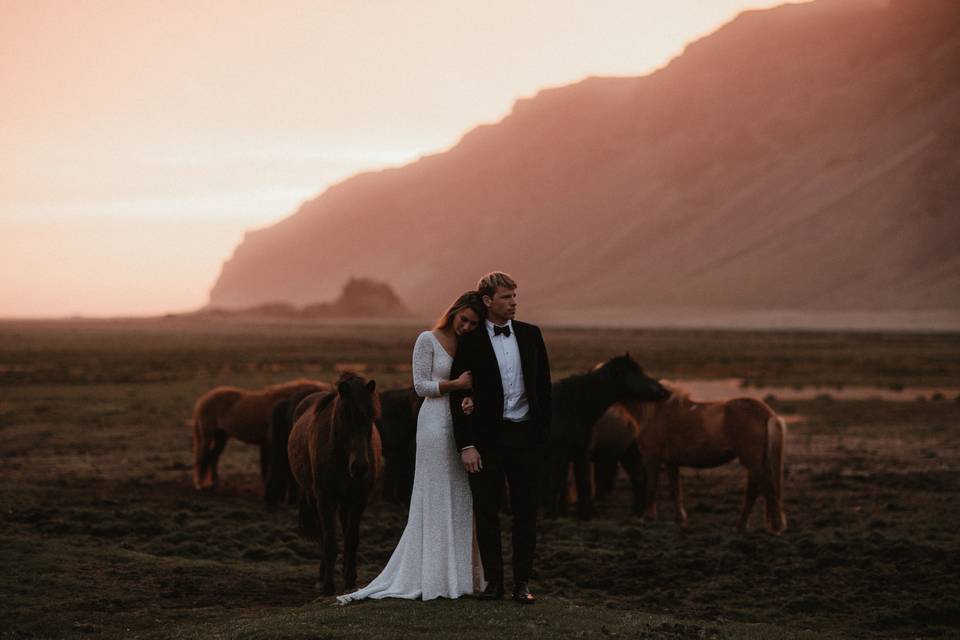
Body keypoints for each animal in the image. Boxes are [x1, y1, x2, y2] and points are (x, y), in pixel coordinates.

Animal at [191, 380, 334, 490]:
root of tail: (202, 400)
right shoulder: (270, 442)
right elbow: (267, 465)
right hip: (207, 436)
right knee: (203, 458)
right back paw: (200, 484)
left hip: (221, 437)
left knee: (212, 458)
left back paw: (214, 483)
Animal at [286, 370, 380, 596]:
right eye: (344, 416)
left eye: (371, 417)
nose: (360, 467)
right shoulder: (325, 499)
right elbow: (329, 540)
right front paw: (327, 585)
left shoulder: (358, 500)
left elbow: (351, 540)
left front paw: (350, 583)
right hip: (314, 498)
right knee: (323, 535)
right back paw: (321, 578)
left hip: (346, 503)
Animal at [624, 384, 788, 536]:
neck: (654, 410)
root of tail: (767, 413)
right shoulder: (671, 462)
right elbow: (675, 490)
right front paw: (679, 520)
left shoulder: (652, 458)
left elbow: (651, 487)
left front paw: (647, 518)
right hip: (756, 463)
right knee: (755, 491)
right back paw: (741, 527)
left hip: (753, 463)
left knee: (766, 489)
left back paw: (775, 527)